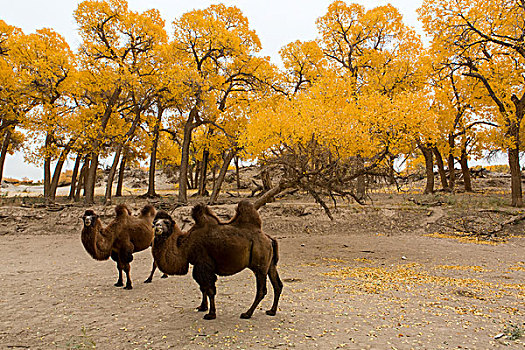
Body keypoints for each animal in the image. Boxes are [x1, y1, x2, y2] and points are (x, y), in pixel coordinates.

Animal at [151, 200, 282, 320]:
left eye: (166, 222)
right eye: (155, 222)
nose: (157, 226)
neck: (186, 246)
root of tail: (269, 238)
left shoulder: (203, 264)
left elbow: (209, 289)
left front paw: (211, 314)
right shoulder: (199, 266)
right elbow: (202, 287)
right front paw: (202, 307)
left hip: (260, 265)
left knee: (262, 290)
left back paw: (247, 313)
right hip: (270, 264)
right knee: (278, 285)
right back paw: (271, 311)